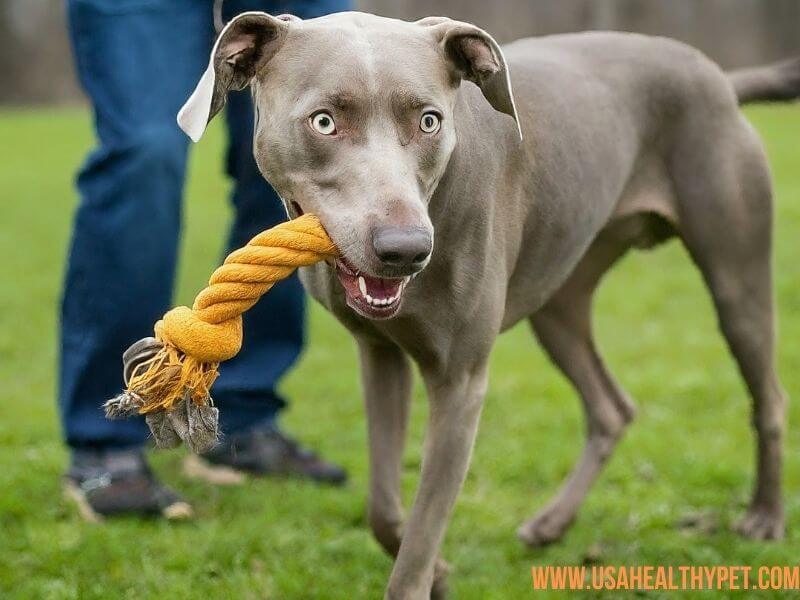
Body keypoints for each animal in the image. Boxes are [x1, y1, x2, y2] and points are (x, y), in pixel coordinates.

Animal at [177, 10, 800, 600]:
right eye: (324, 121)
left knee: (766, 394)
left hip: (735, 275)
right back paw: (551, 525)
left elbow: (421, 534)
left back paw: (764, 518)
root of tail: (720, 78)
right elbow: (385, 507)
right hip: (560, 299)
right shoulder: (379, 354)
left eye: (429, 121)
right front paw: (441, 571)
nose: (406, 251)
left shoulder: (461, 382)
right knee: (611, 406)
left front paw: (425, 572)